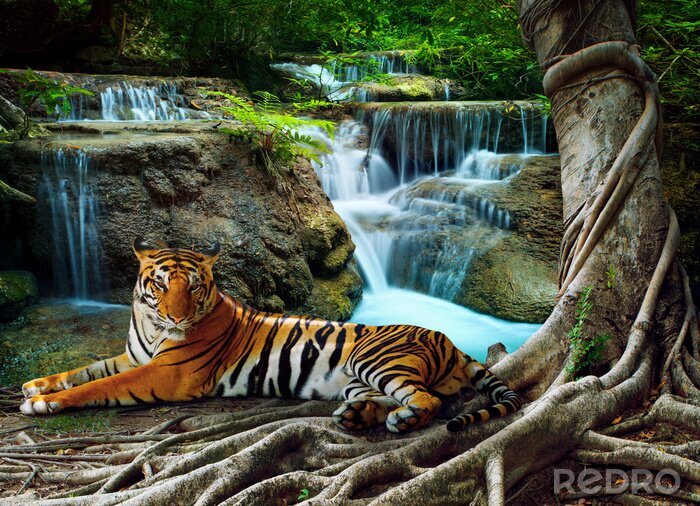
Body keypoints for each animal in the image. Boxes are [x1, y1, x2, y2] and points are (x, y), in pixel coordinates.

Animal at [20, 238, 522, 433]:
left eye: (194, 286)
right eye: (160, 285)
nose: (177, 317)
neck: (149, 324)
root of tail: (450, 341)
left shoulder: (165, 374)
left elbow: (100, 385)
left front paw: (45, 403)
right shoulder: (134, 357)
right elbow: (87, 369)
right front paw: (36, 385)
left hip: (376, 360)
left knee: (427, 401)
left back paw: (399, 420)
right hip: (358, 378)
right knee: (391, 399)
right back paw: (356, 416)